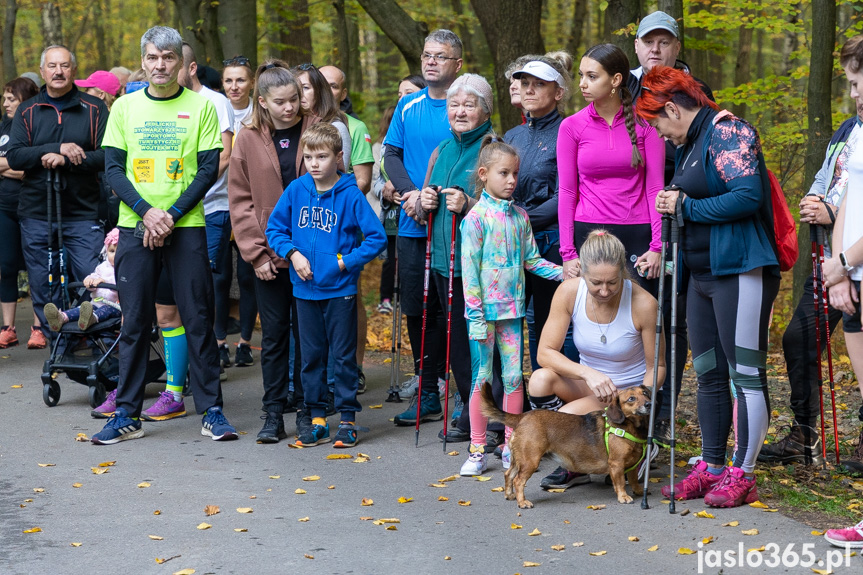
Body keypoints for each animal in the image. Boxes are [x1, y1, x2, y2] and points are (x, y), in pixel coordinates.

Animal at [480, 382, 656, 508]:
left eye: (645, 394)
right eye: (631, 399)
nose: (649, 404)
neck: (629, 427)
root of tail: (522, 417)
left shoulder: (633, 465)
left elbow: (633, 479)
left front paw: (638, 491)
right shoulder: (617, 464)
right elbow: (619, 483)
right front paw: (623, 496)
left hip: (519, 459)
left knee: (508, 474)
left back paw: (510, 495)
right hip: (530, 461)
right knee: (518, 481)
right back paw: (522, 502)